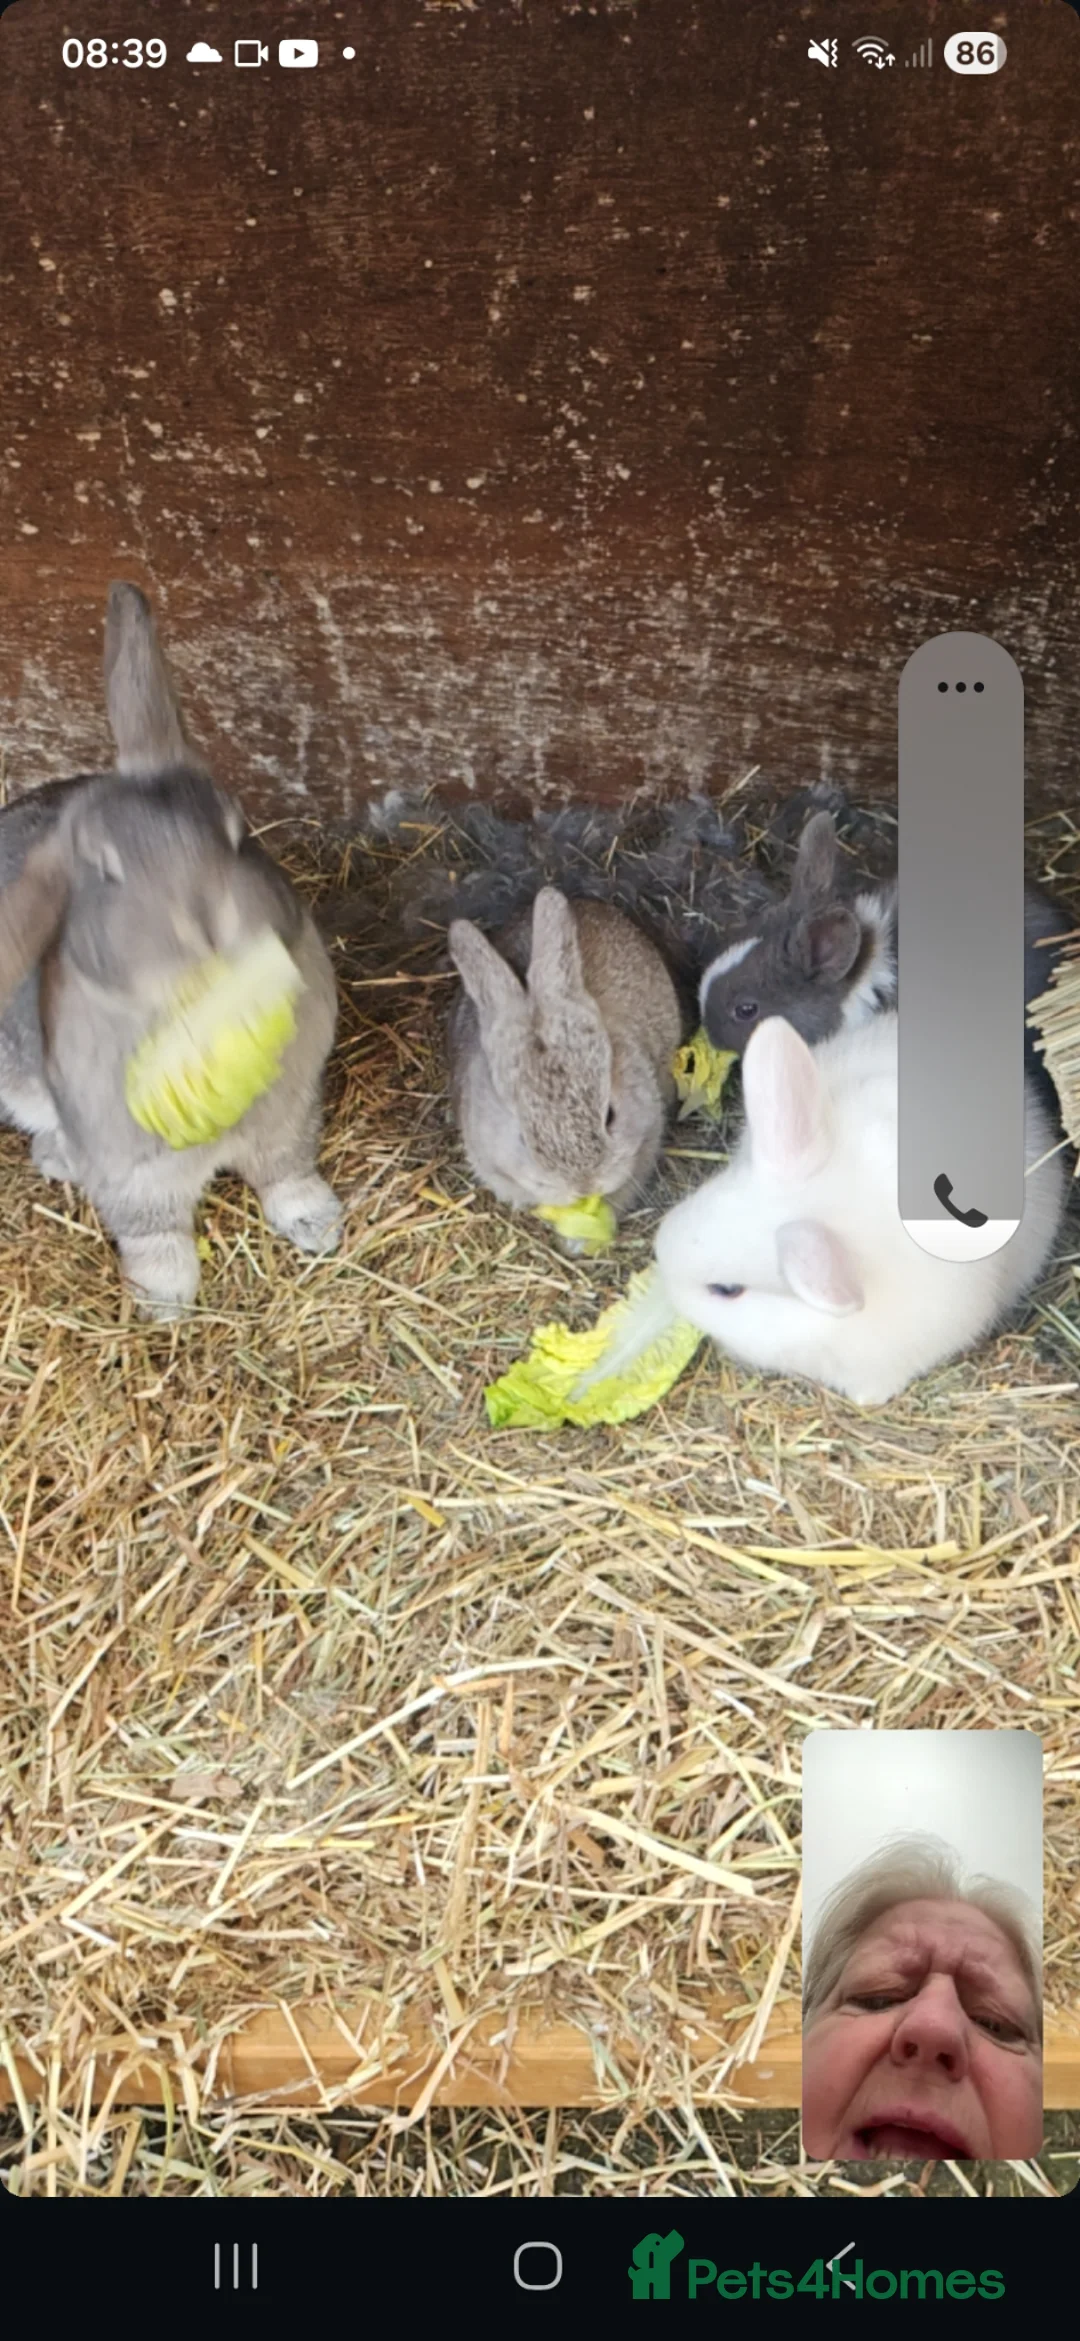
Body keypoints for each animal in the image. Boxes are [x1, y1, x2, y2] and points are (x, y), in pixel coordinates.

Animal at [0, 582, 342, 1319]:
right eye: (104, 870)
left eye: (238, 831)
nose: (209, 925)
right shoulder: (133, 1173)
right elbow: (152, 1232)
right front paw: (165, 1302)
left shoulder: (291, 1115)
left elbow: (288, 1172)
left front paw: (317, 1224)